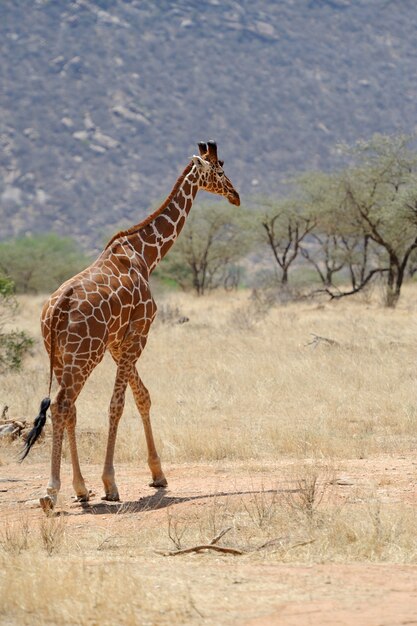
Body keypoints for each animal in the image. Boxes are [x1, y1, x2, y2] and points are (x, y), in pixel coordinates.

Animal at [22, 139, 240, 510]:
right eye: (220, 170)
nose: (236, 196)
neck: (146, 255)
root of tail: (54, 312)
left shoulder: (118, 341)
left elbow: (142, 396)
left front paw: (157, 474)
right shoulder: (138, 333)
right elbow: (118, 404)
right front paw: (111, 483)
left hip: (62, 356)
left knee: (69, 409)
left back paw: (80, 489)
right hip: (84, 355)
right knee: (63, 405)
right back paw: (52, 491)